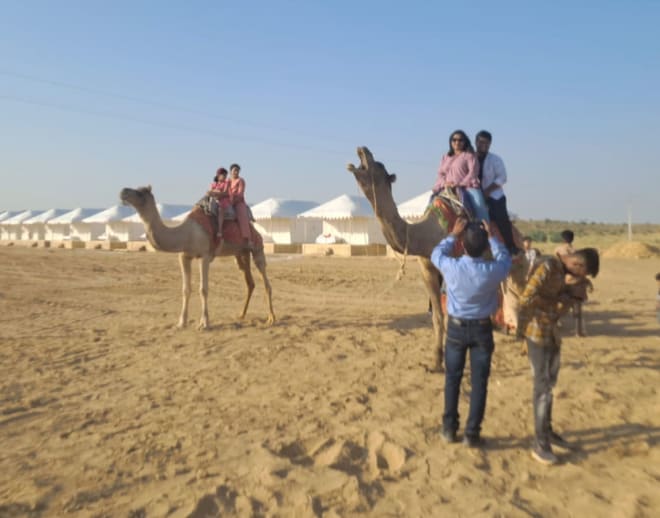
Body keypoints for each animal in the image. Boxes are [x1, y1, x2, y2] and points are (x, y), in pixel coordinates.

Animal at [120, 189, 274, 332]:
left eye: (140, 193)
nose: (123, 192)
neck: (186, 234)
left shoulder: (204, 256)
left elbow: (203, 289)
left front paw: (204, 323)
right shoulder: (184, 256)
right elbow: (186, 289)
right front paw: (181, 323)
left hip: (257, 247)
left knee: (265, 279)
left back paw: (271, 318)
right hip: (241, 253)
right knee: (250, 282)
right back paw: (241, 314)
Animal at [346, 148, 524, 372]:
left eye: (377, 165)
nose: (362, 149)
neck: (426, 234)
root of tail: (519, 234)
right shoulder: (427, 270)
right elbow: (437, 317)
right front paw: (436, 361)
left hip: (515, 261)